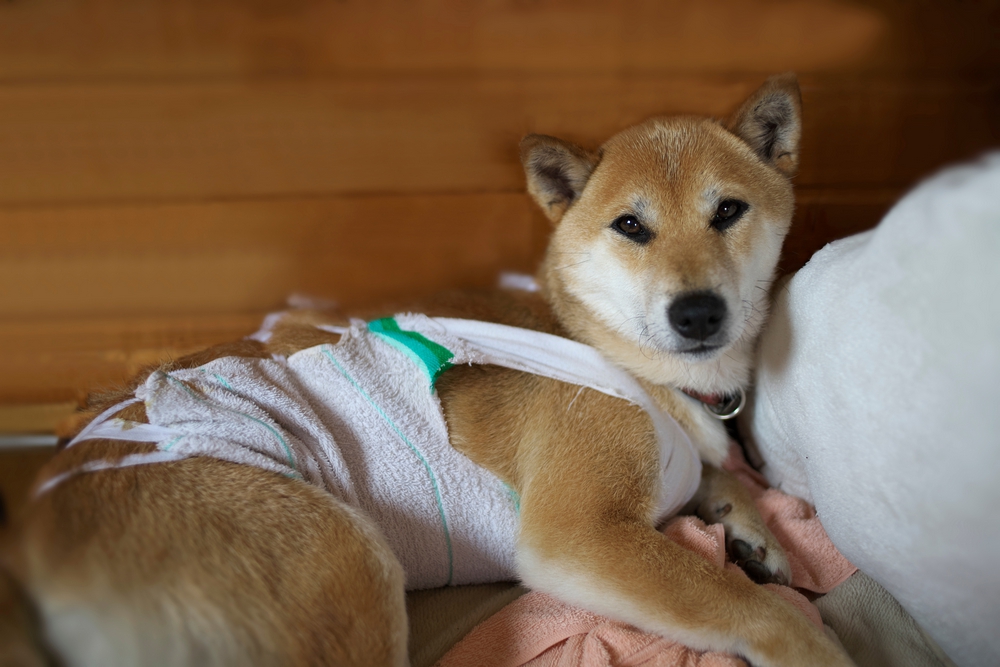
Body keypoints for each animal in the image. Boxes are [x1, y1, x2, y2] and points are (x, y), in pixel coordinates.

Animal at [0, 73, 852, 667]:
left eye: (728, 210)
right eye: (630, 226)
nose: (698, 313)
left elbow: (728, 476)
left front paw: (750, 525)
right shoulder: (580, 534)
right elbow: (749, 605)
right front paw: (807, 640)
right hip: (343, 557)